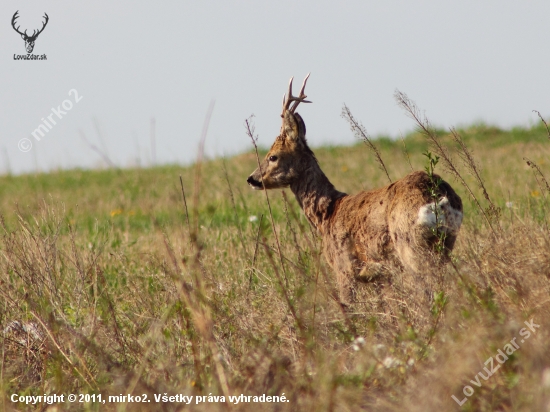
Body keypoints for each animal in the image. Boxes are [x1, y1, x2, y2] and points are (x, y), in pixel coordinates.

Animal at [248, 75, 464, 306]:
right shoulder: (380, 276)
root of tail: (437, 197)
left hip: (410, 244)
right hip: (446, 242)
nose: (251, 179)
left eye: (273, 156)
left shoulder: (344, 266)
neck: (327, 214)